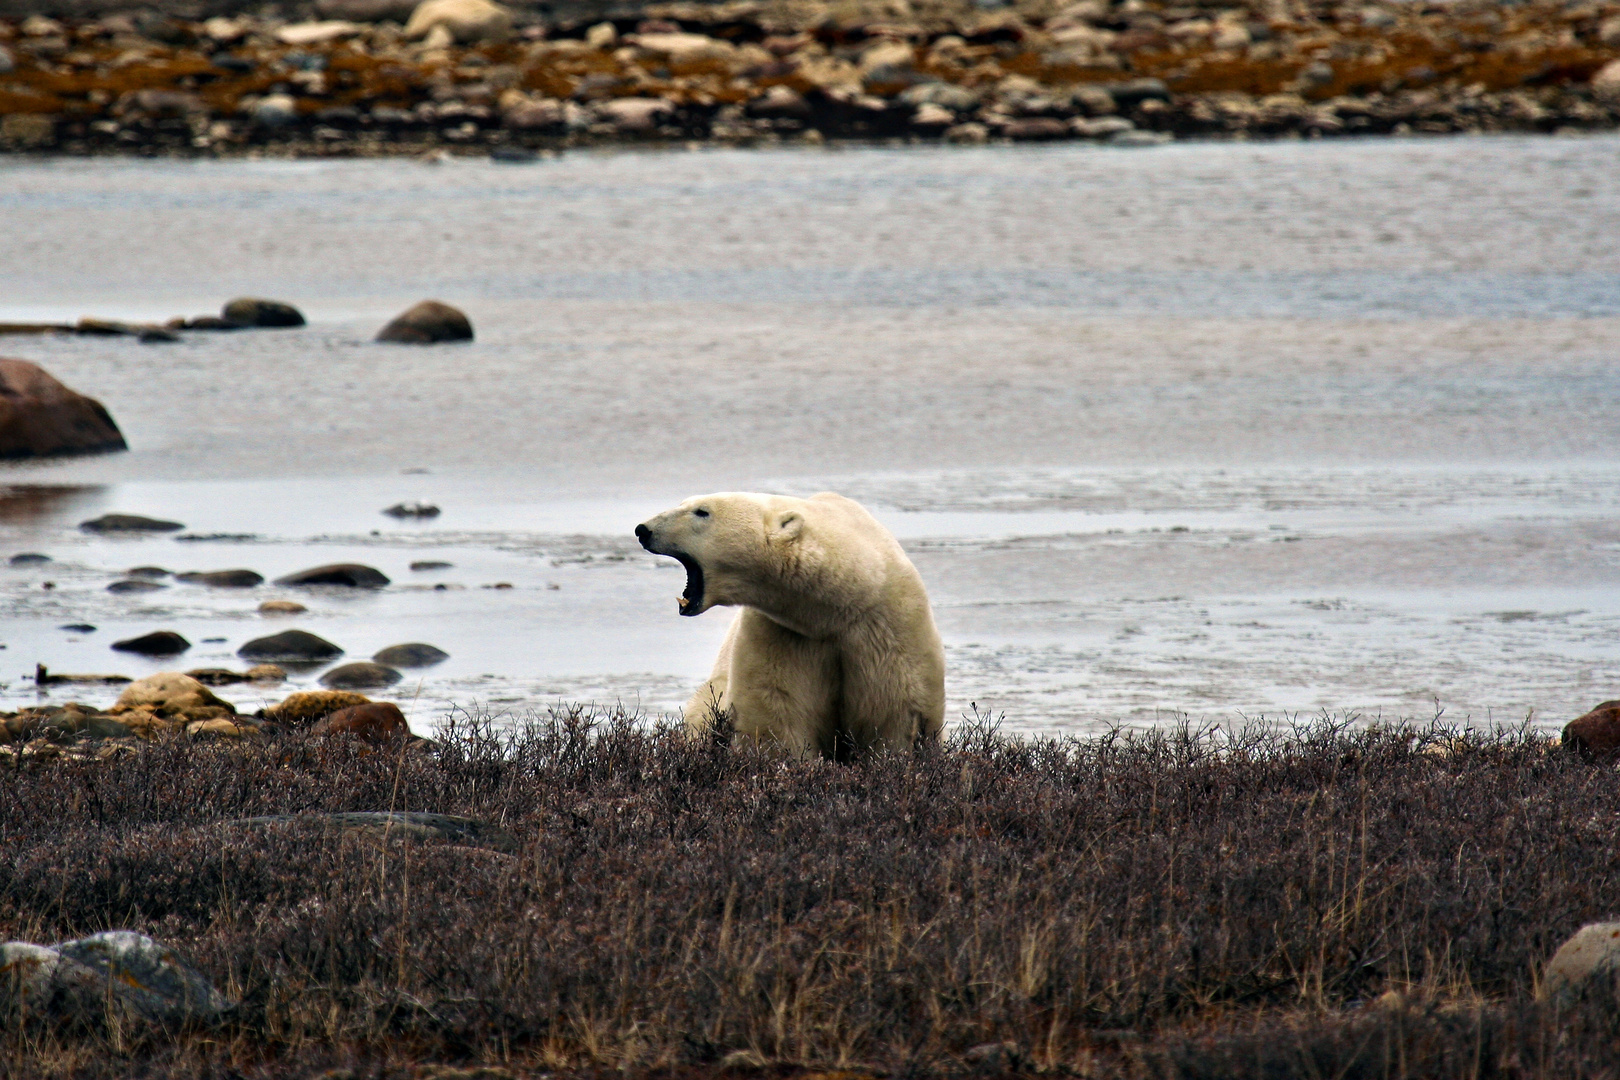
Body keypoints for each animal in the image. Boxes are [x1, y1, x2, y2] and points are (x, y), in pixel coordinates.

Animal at [638, 492, 946, 761]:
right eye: (683, 503)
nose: (643, 529)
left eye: (702, 511)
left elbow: (891, 714)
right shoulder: (781, 634)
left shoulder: (886, 630)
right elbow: (779, 716)